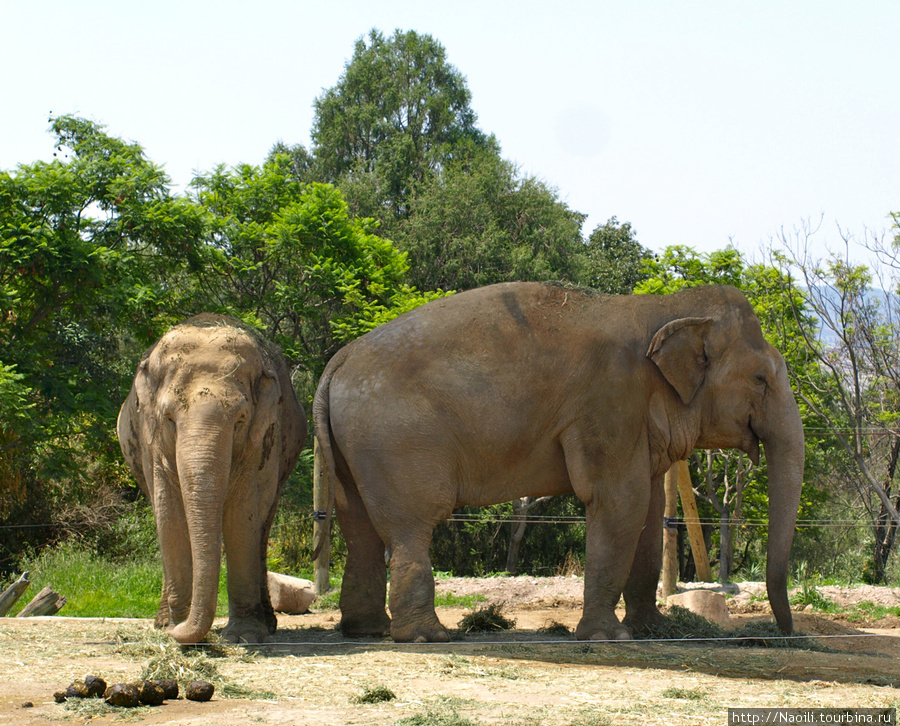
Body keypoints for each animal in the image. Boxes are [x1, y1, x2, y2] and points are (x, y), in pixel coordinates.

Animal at [117, 316, 306, 644]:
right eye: (168, 418)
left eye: (240, 420)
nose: (180, 629)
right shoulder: (149, 439)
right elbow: (168, 513)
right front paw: (174, 628)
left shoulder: (262, 437)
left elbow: (242, 514)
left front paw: (243, 636)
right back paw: (161, 622)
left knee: (262, 528)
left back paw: (267, 625)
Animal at [312, 282, 804, 644]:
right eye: (761, 379)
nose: (786, 633)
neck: (664, 306)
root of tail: (338, 360)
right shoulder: (609, 402)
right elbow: (619, 503)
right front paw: (609, 638)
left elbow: (645, 514)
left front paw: (653, 630)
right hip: (395, 439)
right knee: (412, 526)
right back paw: (427, 637)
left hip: (354, 446)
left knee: (359, 528)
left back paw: (367, 630)